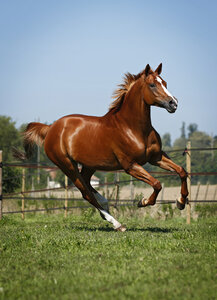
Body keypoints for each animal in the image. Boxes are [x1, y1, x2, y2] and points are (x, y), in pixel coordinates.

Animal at [14, 63, 188, 232]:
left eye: (164, 83)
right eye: (152, 85)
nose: (174, 103)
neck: (132, 128)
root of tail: (50, 128)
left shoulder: (156, 157)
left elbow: (182, 171)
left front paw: (181, 202)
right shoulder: (130, 166)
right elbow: (157, 184)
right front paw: (143, 201)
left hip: (89, 165)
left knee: (88, 186)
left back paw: (105, 205)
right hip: (67, 166)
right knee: (85, 193)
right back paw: (117, 223)